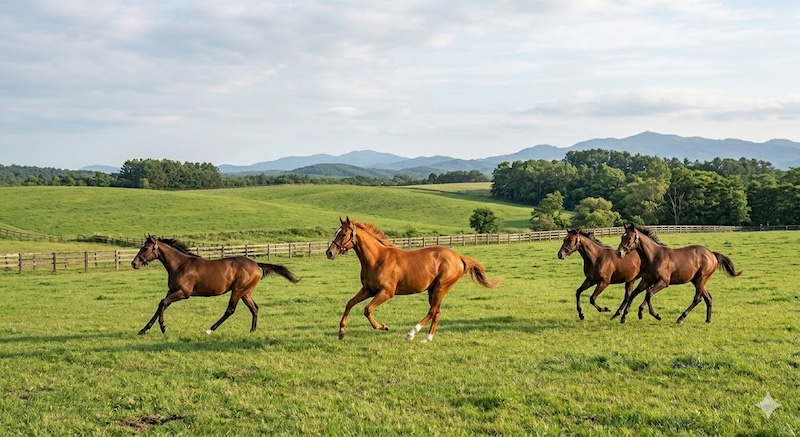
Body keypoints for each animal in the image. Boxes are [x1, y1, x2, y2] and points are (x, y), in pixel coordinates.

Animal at [131, 235, 300, 335]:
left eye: (145, 248)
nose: (134, 263)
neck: (180, 265)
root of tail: (256, 264)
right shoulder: (172, 291)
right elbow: (161, 305)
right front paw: (144, 329)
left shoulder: (184, 293)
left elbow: (162, 303)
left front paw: (163, 327)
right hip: (246, 293)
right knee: (254, 308)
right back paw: (252, 330)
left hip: (237, 291)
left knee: (230, 310)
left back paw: (210, 329)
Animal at [325, 217, 500, 342]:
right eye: (336, 232)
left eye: (343, 233)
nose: (329, 253)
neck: (377, 259)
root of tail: (459, 257)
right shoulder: (368, 290)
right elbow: (349, 304)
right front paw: (341, 332)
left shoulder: (386, 292)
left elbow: (367, 309)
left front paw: (383, 327)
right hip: (433, 289)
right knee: (437, 312)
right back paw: (427, 338)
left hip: (440, 287)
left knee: (432, 311)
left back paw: (411, 333)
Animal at [613, 223, 741, 324]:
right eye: (622, 237)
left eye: (629, 238)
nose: (619, 253)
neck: (654, 256)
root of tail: (712, 254)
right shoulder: (646, 280)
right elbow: (634, 294)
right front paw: (625, 317)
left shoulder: (664, 282)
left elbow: (648, 294)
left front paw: (653, 315)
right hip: (697, 281)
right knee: (708, 298)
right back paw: (707, 320)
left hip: (701, 279)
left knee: (697, 299)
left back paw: (681, 318)